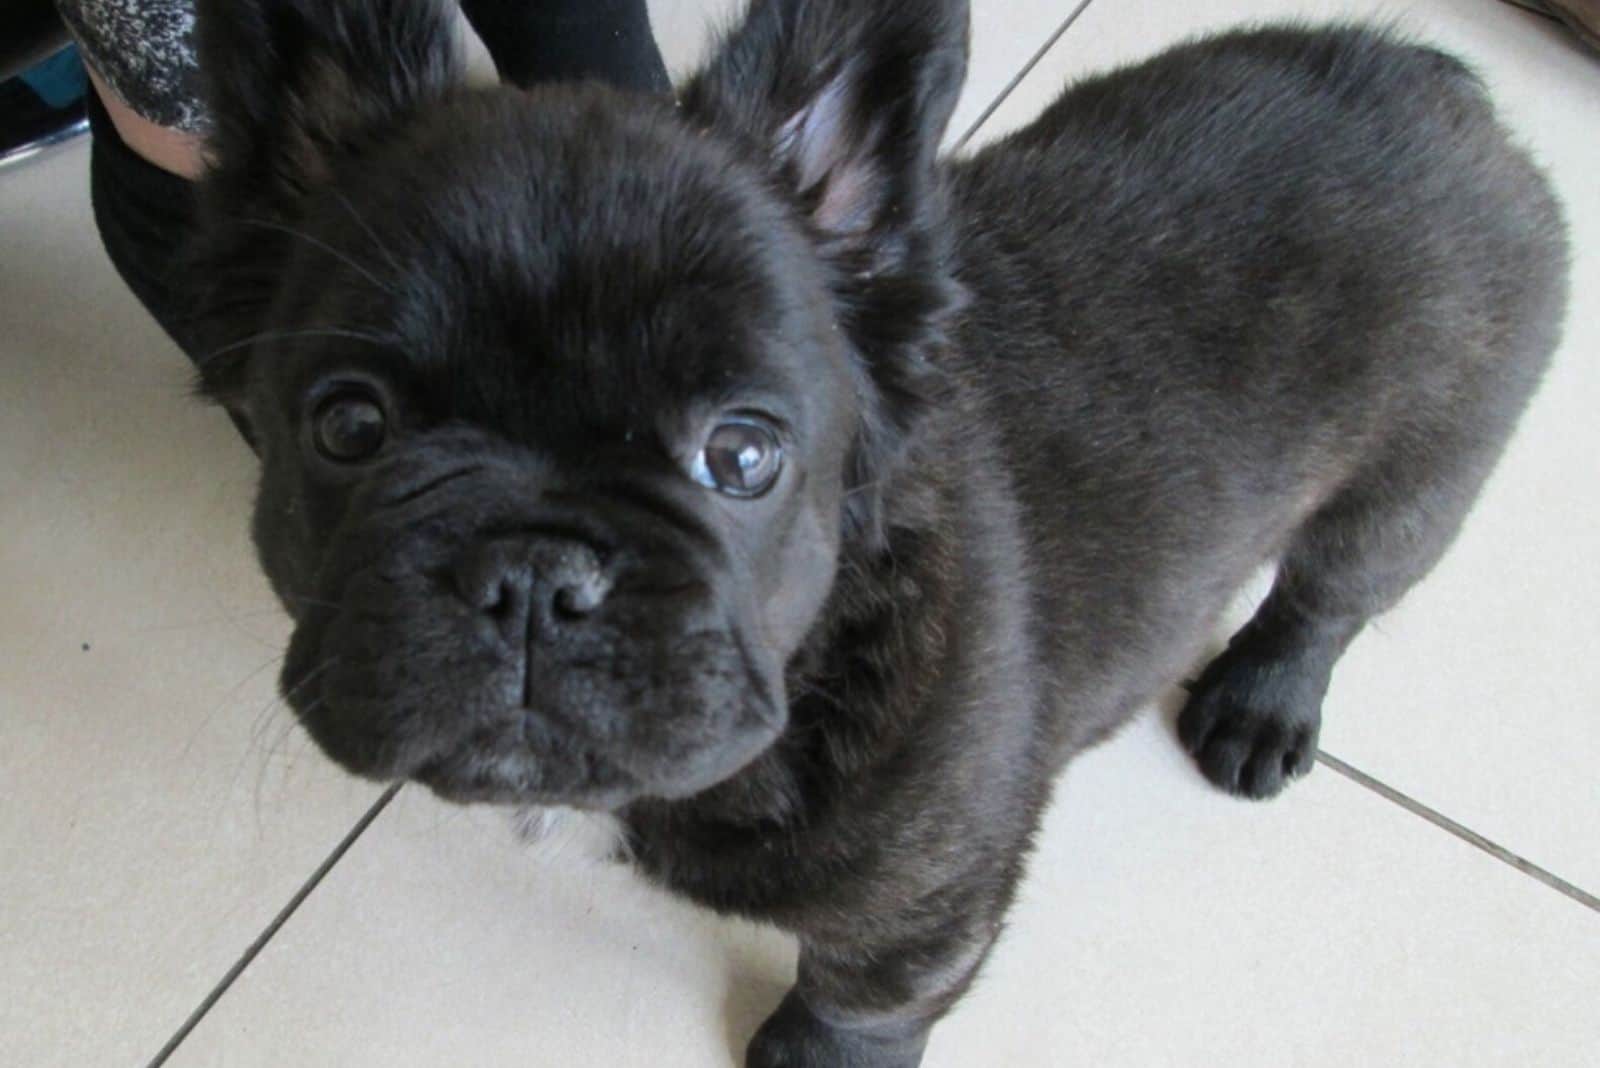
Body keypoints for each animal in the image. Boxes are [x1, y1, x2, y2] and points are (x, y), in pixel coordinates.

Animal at [181, 2, 1568, 1068]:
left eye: (742, 456)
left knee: (1334, 590)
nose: (532, 570)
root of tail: (1435, 84)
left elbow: (864, 995)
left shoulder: (924, 903)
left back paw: (1261, 701)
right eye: (349, 426)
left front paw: (816, 1058)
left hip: (1421, 472)